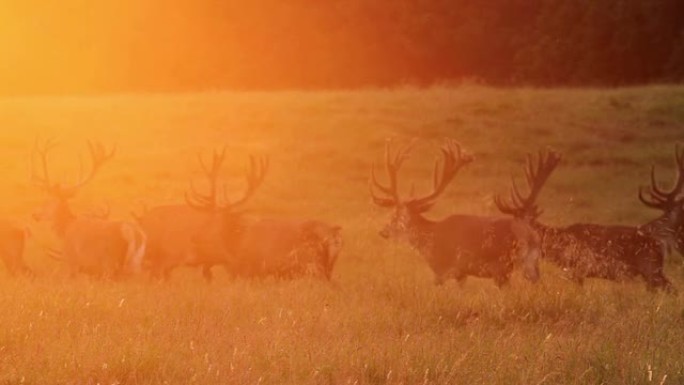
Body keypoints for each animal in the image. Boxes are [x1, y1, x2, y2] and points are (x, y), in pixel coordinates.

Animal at [30, 140, 147, 278]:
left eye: (48, 200)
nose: (35, 214)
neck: (65, 229)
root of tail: (134, 233)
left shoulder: (72, 261)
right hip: (135, 266)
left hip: (110, 263)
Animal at [366, 137, 560, 284]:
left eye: (396, 216)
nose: (383, 231)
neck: (430, 239)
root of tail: (531, 236)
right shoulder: (461, 273)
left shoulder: (445, 268)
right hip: (530, 266)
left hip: (503, 266)